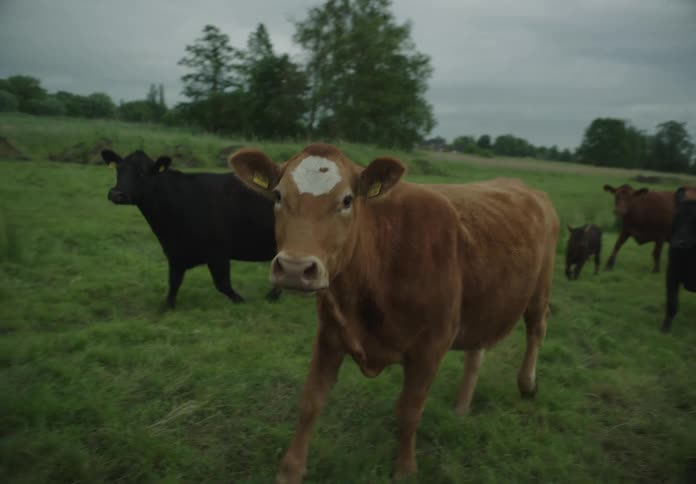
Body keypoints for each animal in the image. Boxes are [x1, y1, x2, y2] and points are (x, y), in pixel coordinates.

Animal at [101, 149, 280, 309]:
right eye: (119, 170)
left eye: (142, 173)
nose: (116, 194)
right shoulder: (175, 253)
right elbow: (173, 284)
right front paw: (167, 307)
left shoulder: (218, 252)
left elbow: (223, 284)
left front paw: (242, 302)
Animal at [229, 144, 560, 483]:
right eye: (278, 195)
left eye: (347, 200)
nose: (295, 268)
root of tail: (525, 187)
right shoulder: (330, 334)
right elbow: (311, 401)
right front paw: (290, 470)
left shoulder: (431, 346)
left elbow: (409, 410)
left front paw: (405, 469)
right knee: (476, 351)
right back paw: (462, 406)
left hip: (540, 288)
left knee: (537, 328)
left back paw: (527, 383)